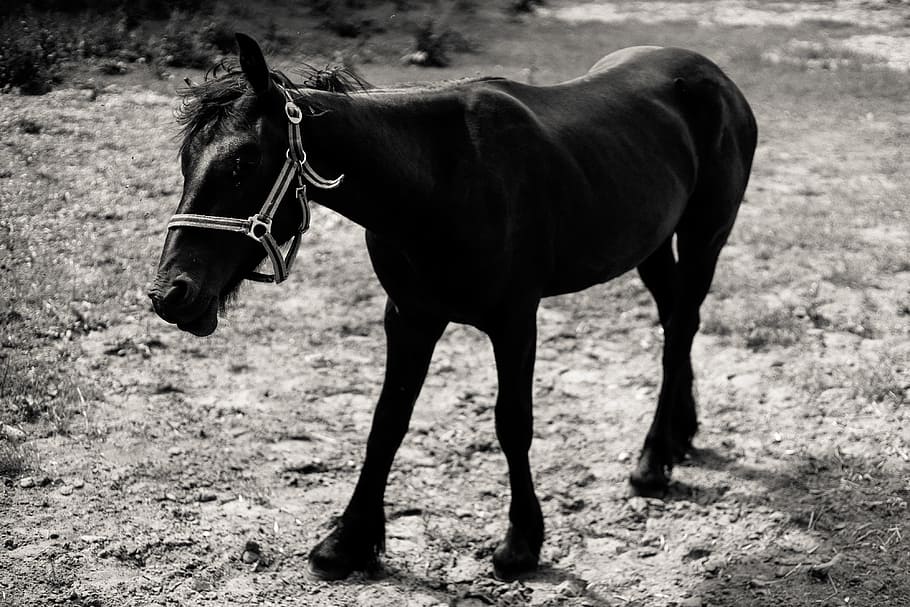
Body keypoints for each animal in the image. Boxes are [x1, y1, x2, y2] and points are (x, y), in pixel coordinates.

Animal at [149, 33, 757, 580]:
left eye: (243, 162)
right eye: (185, 161)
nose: (170, 294)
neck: (441, 183)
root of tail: (716, 78)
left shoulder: (515, 321)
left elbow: (513, 423)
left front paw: (521, 542)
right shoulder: (410, 316)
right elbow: (387, 421)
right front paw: (349, 542)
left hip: (704, 236)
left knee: (681, 326)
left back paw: (652, 463)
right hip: (653, 244)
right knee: (675, 323)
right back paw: (680, 433)